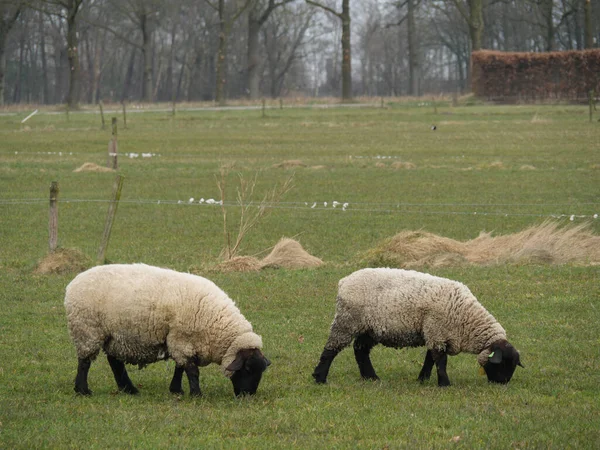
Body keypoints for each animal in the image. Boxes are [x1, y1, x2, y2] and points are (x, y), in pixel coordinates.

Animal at [65, 264, 270, 398]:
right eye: (248, 368)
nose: (248, 395)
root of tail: (73, 283)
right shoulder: (181, 339)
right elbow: (192, 370)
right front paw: (196, 394)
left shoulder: (180, 341)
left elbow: (180, 367)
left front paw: (177, 390)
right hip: (88, 330)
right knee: (84, 362)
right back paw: (82, 390)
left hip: (114, 335)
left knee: (115, 362)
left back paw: (129, 389)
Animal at [312, 268, 524, 386]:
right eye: (503, 363)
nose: (502, 384)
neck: (466, 317)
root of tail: (344, 281)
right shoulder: (436, 331)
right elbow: (440, 360)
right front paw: (445, 384)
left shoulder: (435, 333)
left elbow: (430, 358)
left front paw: (423, 379)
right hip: (347, 321)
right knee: (331, 349)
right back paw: (320, 378)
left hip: (369, 327)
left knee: (360, 350)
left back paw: (371, 377)